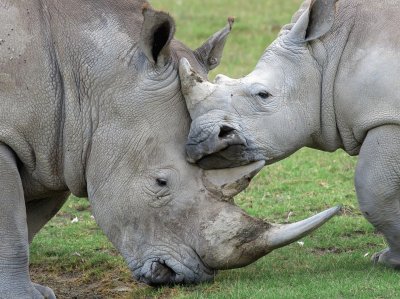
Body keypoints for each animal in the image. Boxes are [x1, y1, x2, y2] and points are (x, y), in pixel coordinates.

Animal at [0, 0, 340, 299]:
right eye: (159, 182)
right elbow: (13, 229)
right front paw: (23, 297)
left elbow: (29, 223)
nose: (178, 277)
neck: (86, 80)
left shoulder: (58, 149)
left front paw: (37, 292)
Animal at [180, 0, 400, 270]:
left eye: (263, 95)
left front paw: (389, 260)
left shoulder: (388, 117)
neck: (326, 53)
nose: (200, 139)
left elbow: (373, 187)